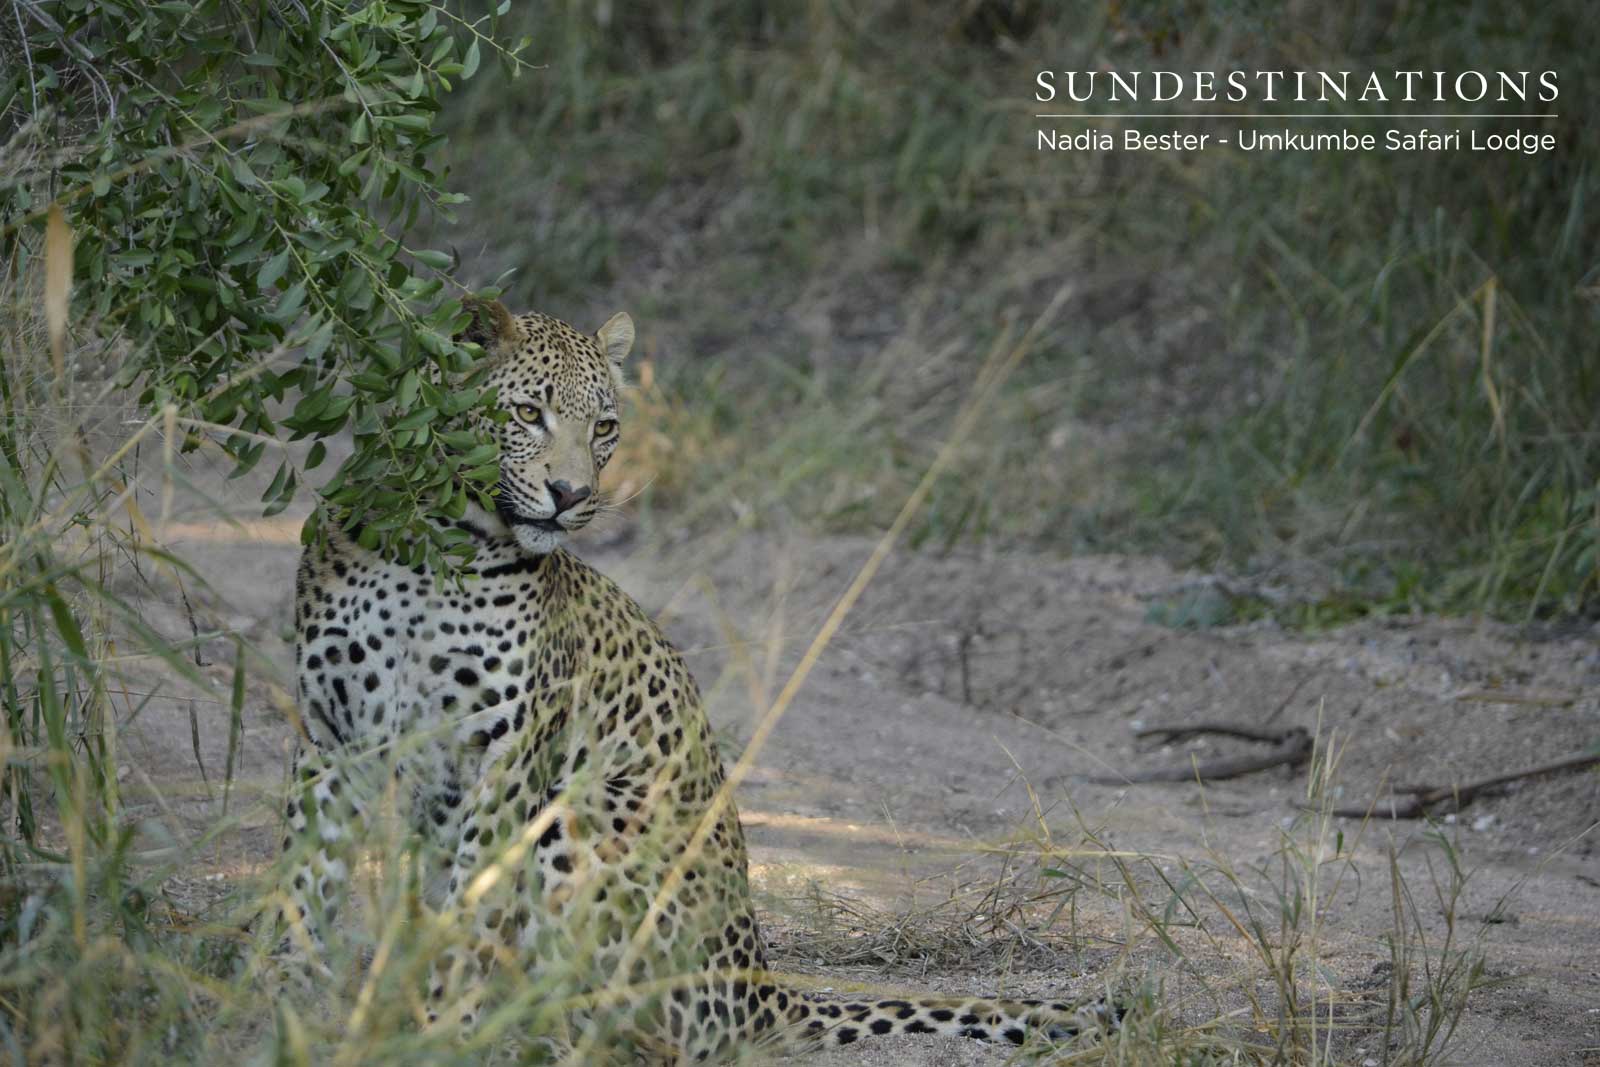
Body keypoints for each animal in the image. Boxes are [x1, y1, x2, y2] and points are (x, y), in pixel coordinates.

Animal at [279, 298, 1115, 1062]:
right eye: (525, 412)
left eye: (604, 427)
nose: (572, 496)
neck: (430, 550)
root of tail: (760, 983)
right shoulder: (329, 735)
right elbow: (304, 877)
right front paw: (286, 996)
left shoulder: (506, 755)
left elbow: (468, 914)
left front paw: (437, 1025)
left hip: (588, 814)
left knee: (647, 1035)